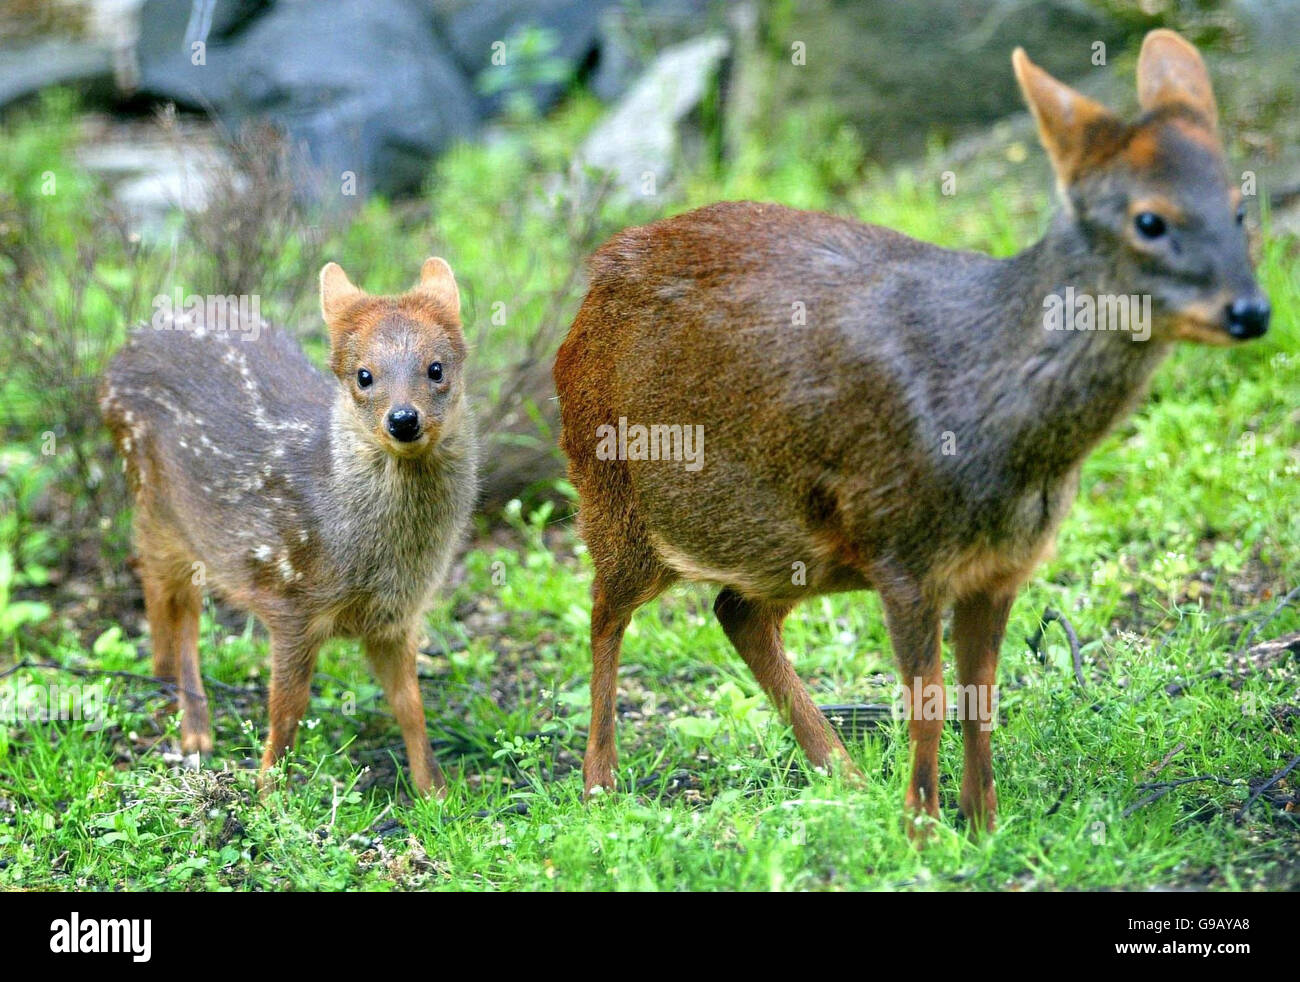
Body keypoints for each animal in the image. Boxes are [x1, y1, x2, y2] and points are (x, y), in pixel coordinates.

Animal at [100, 257, 478, 796]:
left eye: (436, 368)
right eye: (364, 375)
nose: (404, 419)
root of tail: (122, 353)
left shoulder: (397, 616)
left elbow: (410, 704)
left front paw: (436, 794)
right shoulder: (290, 602)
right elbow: (287, 705)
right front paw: (268, 792)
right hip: (157, 507)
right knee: (167, 597)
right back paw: (192, 727)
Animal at [551, 26, 1268, 832]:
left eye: (1239, 207)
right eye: (1150, 219)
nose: (1251, 311)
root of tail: (594, 284)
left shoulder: (1001, 566)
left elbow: (979, 701)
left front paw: (981, 825)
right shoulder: (902, 554)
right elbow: (927, 704)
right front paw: (922, 832)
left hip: (788, 541)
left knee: (735, 610)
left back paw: (844, 777)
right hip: (611, 489)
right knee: (604, 612)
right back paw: (600, 785)